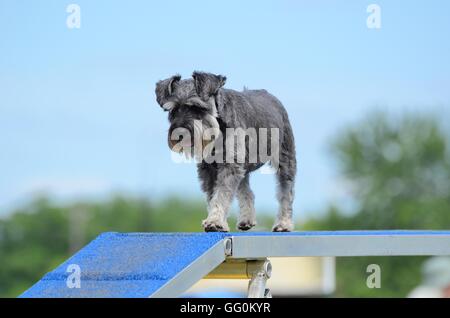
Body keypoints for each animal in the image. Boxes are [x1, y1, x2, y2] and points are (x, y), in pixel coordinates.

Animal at [155, 71, 296, 231]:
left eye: (197, 107)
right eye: (173, 110)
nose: (179, 135)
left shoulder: (230, 165)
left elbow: (221, 194)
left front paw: (215, 221)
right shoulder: (209, 169)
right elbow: (213, 196)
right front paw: (218, 221)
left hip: (285, 160)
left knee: (286, 192)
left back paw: (283, 224)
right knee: (246, 191)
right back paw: (246, 219)